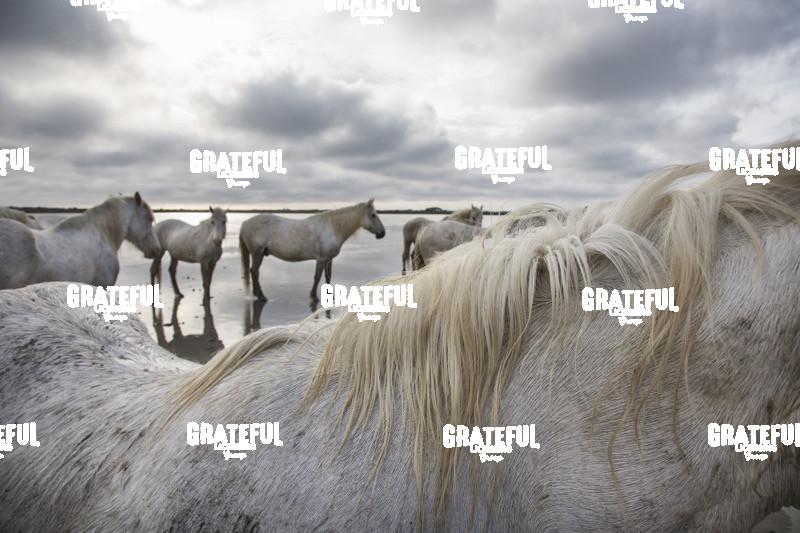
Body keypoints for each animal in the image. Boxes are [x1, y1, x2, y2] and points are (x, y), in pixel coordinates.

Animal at [239, 198, 386, 301]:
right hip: (257, 253)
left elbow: (328, 276)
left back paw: (257, 294)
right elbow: (317, 277)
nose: (382, 233)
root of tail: (245, 223)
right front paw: (313, 296)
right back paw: (262, 296)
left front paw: (330, 295)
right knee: (254, 272)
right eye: (373, 215)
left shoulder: (328, 259)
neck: (333, 228)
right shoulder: (321, 259)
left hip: (258, 254)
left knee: (254, 272)